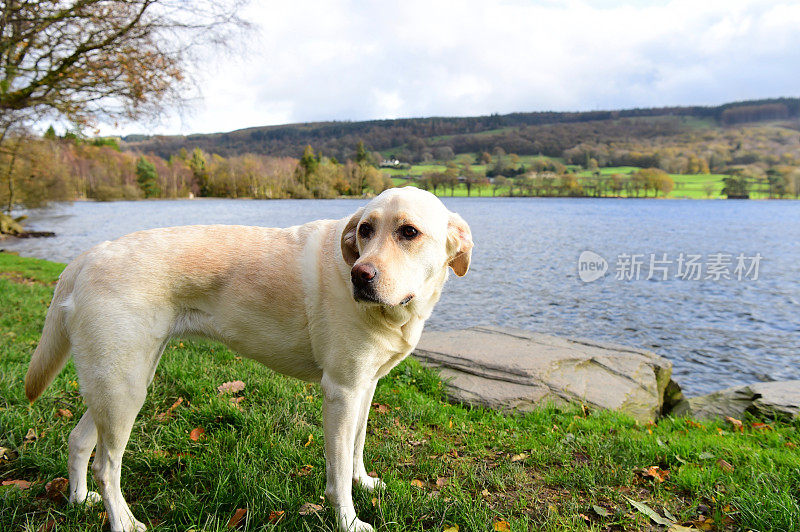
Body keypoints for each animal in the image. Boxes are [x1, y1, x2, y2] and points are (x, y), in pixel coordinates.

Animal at [25, 187, 472, 532]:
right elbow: (338, 474)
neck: (397, 313)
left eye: (408, 232)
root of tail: (87, 255)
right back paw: (122, 521)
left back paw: (78, 499)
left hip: (120, 380)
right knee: (107, 466)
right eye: (365, 230)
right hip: (124, 388)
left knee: (80, 441)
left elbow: (358, 448)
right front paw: (348, 521)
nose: (359, 276)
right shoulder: (342, 391)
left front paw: (364, 482)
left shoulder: (366, 386)